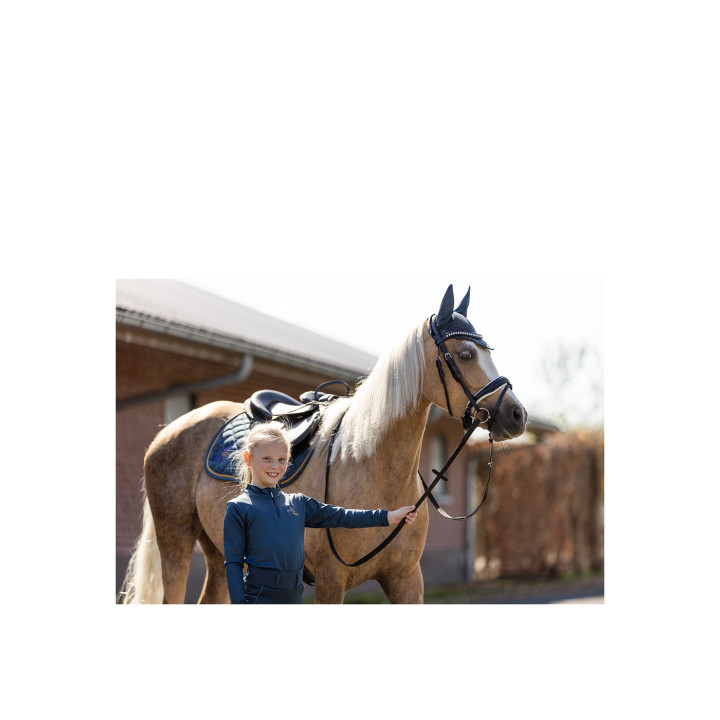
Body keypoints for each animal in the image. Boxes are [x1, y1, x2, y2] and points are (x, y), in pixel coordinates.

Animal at [119, 284, 527, 604]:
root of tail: (169, 431)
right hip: (175, 540)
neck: (367, 464)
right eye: (465, 354)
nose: (517, 415)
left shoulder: (407, 579)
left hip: (221, 552)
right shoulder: (332, 581)